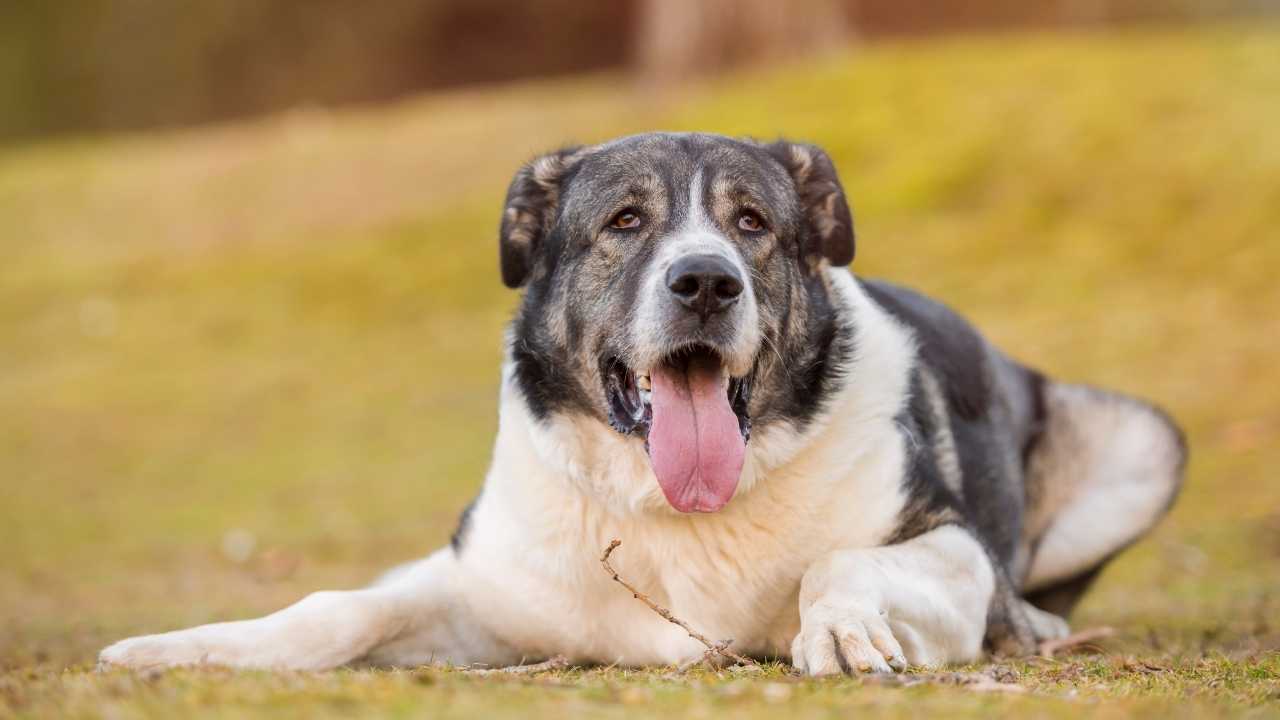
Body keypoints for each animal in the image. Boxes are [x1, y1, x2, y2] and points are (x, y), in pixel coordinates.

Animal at [99, 130, 1187, 671]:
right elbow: (337, 607)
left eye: (752, 223)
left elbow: (842, 560)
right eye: (624, 222)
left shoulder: (952, 549)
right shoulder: (482, 584)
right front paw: (187, 649)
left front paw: (840, 626)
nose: (704, 282)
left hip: (1148, 441)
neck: (676, 511)